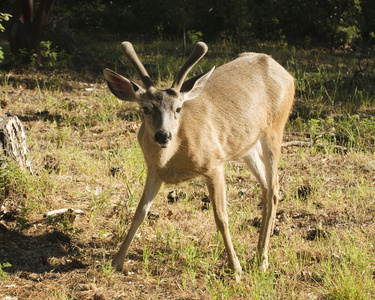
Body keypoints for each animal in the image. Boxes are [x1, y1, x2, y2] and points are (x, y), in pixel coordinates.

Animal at [104, 41, 296, 276]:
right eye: (146, 108)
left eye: (178, 108)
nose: (163, 135)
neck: (171, 159)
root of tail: (285, 72)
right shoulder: (153, 170)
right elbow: (140, 212)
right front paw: (117, 260)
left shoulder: (214, 163)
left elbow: (221, 217)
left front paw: (236, 269)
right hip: (247, 144)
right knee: (267, 187)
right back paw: (260, 255)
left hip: (276, 128)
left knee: (275, 187)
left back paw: (262, 261)